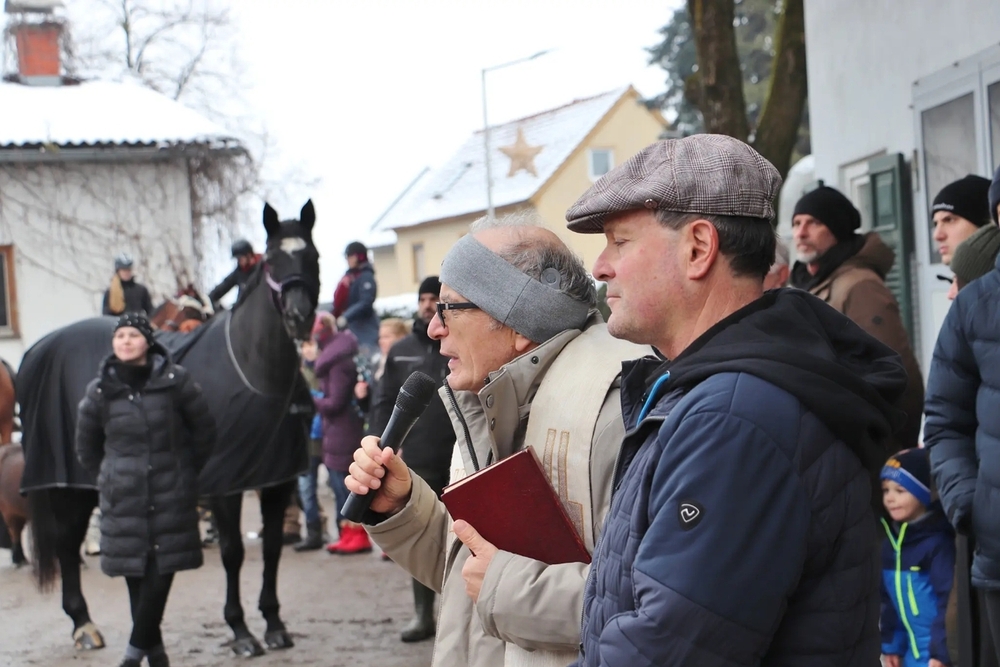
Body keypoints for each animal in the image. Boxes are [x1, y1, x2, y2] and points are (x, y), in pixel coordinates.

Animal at [19, 201, 319, 657]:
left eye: (312, 255)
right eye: (272, 260)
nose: (299, 316)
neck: (252, 370)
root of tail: (39, 347)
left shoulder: (276, 479)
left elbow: (270, 550)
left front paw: (273, 623)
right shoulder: (225, 485)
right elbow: (233, 552)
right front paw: (241, 630)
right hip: (66, 485)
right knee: (68, 545)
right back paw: (83, 624)